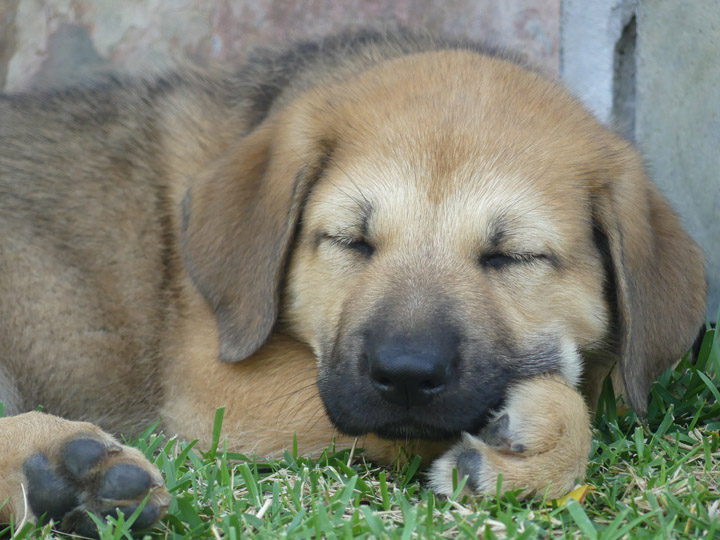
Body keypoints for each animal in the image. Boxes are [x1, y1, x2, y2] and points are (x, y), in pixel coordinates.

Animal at [0, 30, 708, 536]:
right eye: (351, 241)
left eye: (513, 256)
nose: (405, 375)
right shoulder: (223, 387)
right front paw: (542, 440)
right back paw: (66, 468)